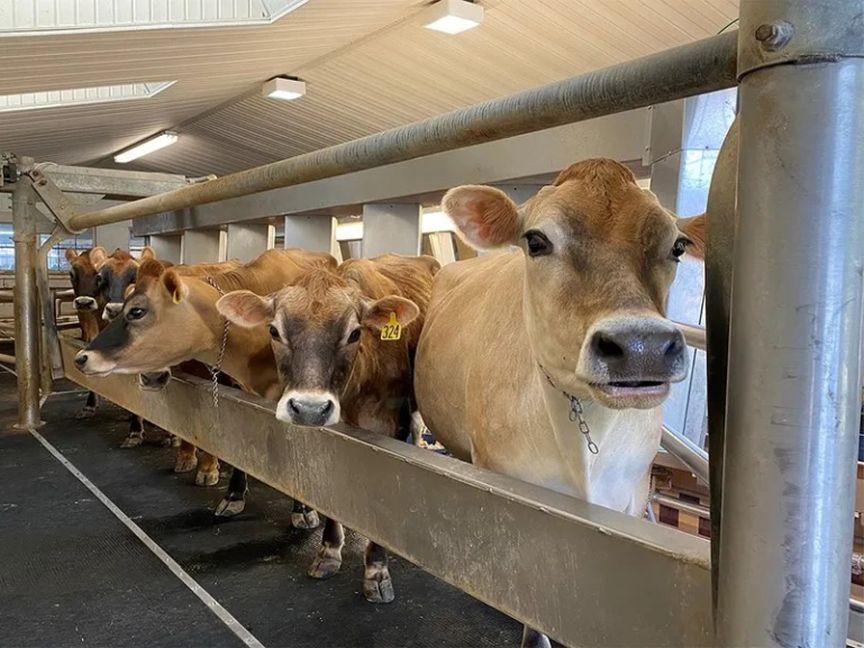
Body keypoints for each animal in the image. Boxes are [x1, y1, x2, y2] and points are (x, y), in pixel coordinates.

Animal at [216, 253, 440, 604]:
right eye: (274, 330)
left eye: (355, 333)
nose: (310, 408)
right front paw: (329, 551)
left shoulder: (388, 428)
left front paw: (376, 571)